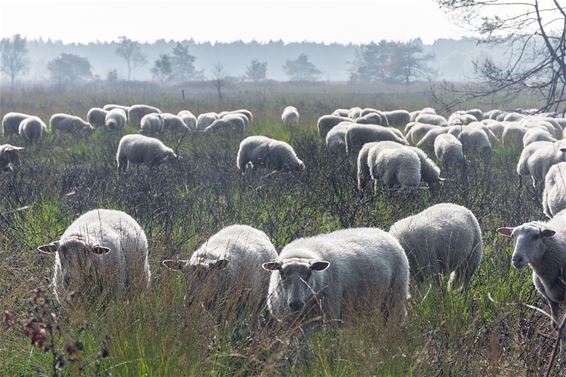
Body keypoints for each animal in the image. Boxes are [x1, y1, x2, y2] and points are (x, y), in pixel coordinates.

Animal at [262, 226, 412, 326]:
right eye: (282, 274)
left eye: (309, 273)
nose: (296, 304)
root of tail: (383, 232)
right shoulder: (288, 323)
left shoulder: (328, 317)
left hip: (396, 295)